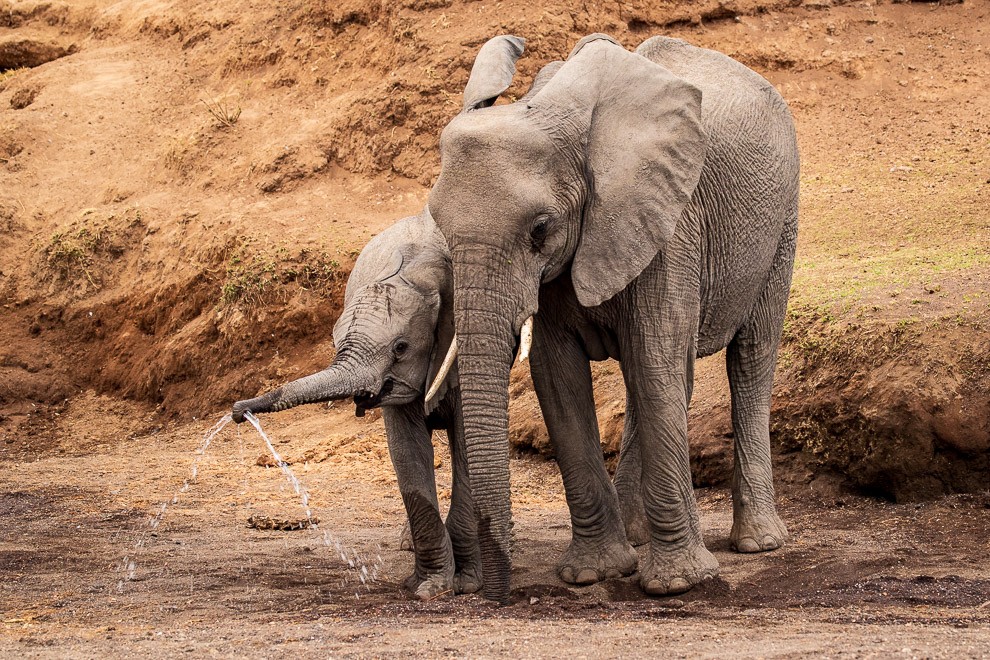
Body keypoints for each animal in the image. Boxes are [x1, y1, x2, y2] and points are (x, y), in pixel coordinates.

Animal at [232, 210, 480, 600]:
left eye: (400, 347)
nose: (238, 411)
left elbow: (468, 439)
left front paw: (464, 583)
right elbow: (407, 450)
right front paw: (430, 586)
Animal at [430, 34, 804, 604]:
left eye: (541, 229)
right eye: (437, 225)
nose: (492, 592)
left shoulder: (671, 225)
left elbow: (654, 362)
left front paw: (677, 583)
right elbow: (558, 380)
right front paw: (595, 573)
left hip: (782, 222)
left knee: (749, 359)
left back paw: (758, 542)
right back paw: (635, 534)